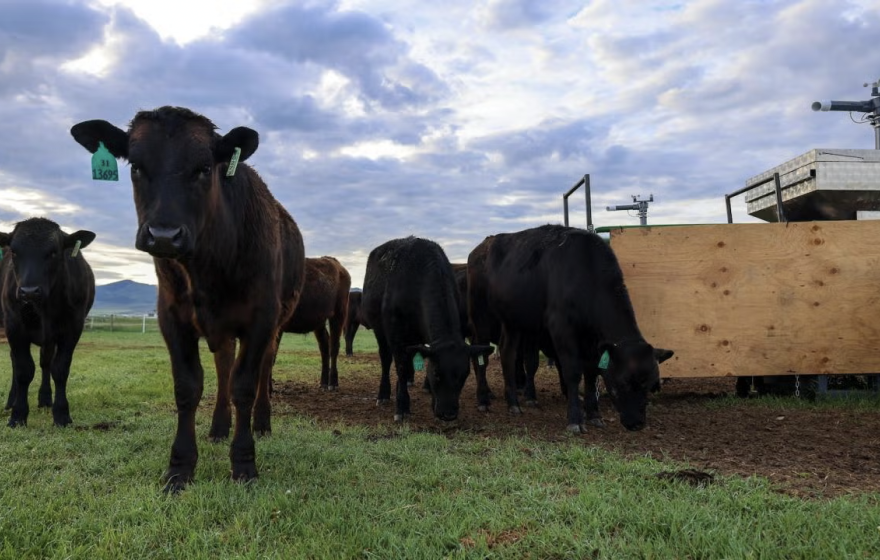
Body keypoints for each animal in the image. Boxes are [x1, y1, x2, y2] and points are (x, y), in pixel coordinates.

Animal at [0, 217, 95, 426]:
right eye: (14, 252)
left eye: (53, 252)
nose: (29, 291)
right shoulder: (14, 326)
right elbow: (23, 369)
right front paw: (18, 415)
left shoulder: (73, 328)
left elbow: (59, 369)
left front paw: (61, 414)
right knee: (16, 361)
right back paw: (11, 400)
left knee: (45, 363)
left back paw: (45, 399)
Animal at [69, 106, 304, 490]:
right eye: (135, 166)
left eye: (205, 168)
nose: (164, 235)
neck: (208, 268)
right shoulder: (172, 318)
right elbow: (188, 387)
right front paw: (180, 468)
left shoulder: (261, 319)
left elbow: (245, 385)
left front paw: (244, 464)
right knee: (224, 366)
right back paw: (219, 426)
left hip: (276, 323)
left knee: (261, 368)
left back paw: (261, 423)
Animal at [276, 255, 348, 390]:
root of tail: (338, 265)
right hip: (319, 322)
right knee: (324, 345)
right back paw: (323, 382)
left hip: (338, 315)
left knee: (334, 346)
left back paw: (333, 383)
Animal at [360, 234, 496, 422]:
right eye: (437, 374)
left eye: (464, 375)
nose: (449, 413)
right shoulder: (395, 335)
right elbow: (401, 367)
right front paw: (402, 407)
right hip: (379, 330)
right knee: (386, 359)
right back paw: (384, 394)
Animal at [484, 224, 672, 434]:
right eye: (623, 382)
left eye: (652, 385)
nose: (637, 423)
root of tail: (499, 238)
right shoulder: (562, 328)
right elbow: (573, 372)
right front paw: (575, 419)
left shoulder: (593, 340)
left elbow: (591, 372)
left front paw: (594, 415)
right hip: (509, 320)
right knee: (508, 353)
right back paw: (513, 404)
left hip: (526, 323)